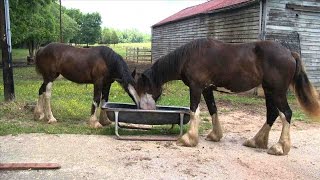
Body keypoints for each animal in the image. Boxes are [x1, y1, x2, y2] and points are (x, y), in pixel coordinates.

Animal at [134, 37, 320, 155]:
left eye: (143, 88)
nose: (140, 109)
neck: (189, 57)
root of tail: (290, 54)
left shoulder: (196, 88)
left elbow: (194, 110)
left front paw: (188, 139)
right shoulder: (207, 89)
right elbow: (213, 110)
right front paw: (215, 135)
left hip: (277, 91)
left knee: (286, 114)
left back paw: (280, 148)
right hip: (269, 91)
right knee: (272, 113)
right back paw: (256, 141)